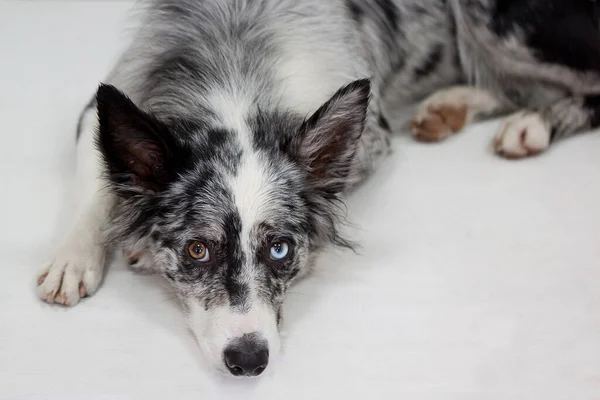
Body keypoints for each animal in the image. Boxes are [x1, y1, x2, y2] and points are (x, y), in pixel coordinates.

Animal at [36, 0, 600, 376]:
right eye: (197, 250)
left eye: (280, 249)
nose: (249, 361)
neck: (235, 68)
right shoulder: (99, 111)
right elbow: (96, 187)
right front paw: (74, 258)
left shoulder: (373, 137)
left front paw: (136, 246)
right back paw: (451, 105)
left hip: (496, 23)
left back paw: (533, 124)